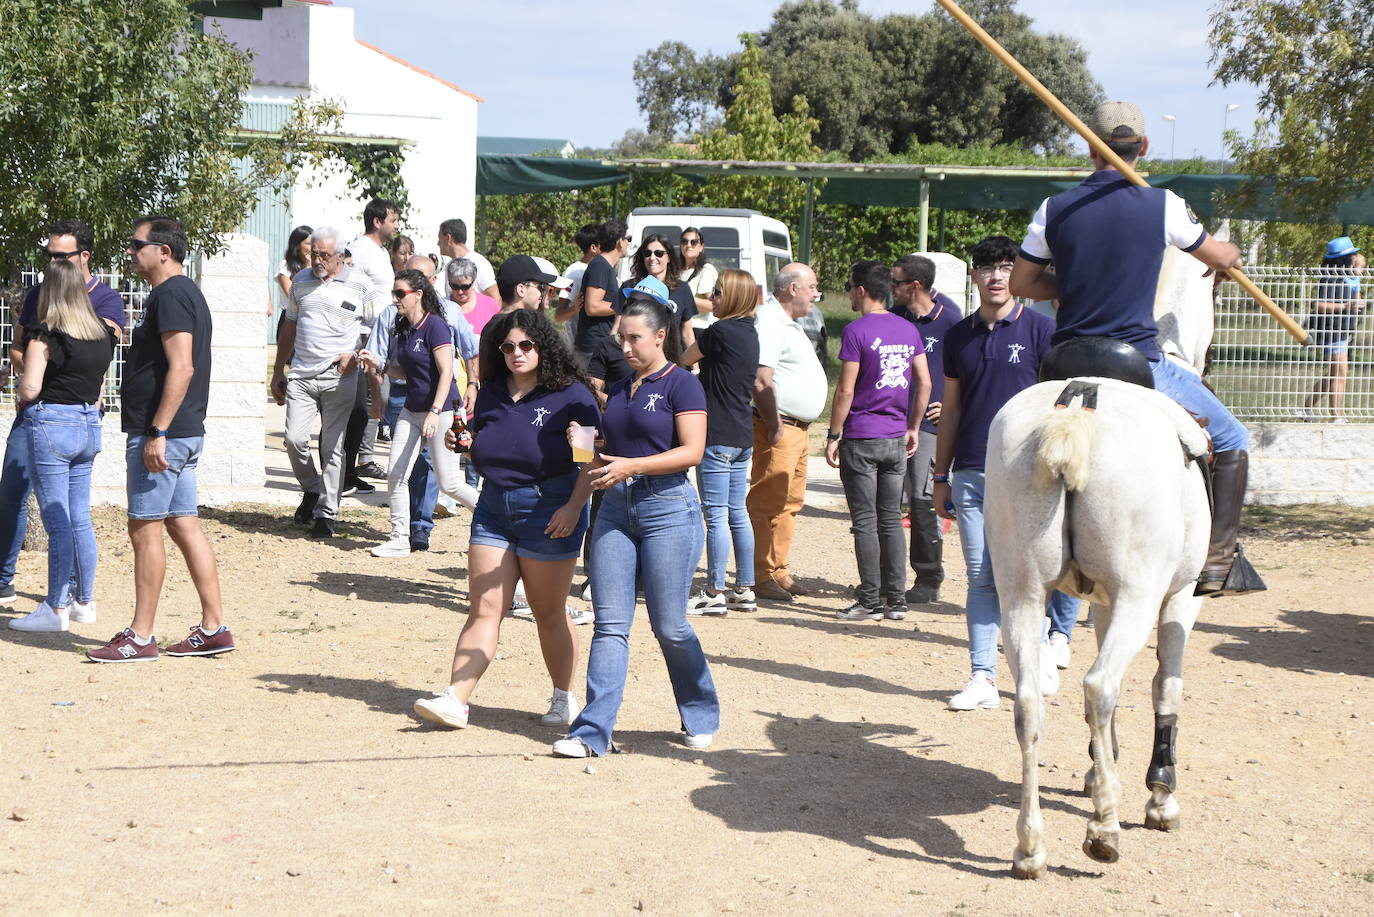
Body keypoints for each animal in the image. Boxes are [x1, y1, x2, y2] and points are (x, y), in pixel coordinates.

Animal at [983, 247, 1220, 879]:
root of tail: (1078, 405)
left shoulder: (1103, 602)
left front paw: (1100, 770)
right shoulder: (1176, 599)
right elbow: (1168, 686)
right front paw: (1158, 793)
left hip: (1021, 591)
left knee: (1030, 704)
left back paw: (1030, 846)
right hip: (1140, 596)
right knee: (1100, 687)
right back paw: (1105, 828)